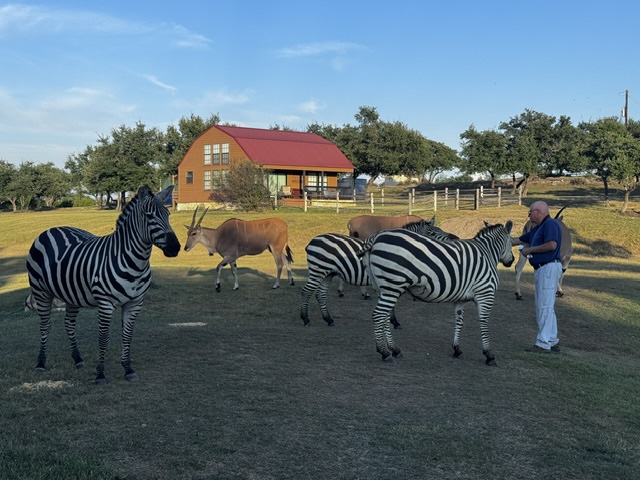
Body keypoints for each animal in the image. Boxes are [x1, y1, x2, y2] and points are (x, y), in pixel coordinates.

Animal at [26, 185, 181, 384]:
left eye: (168, 214)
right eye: (149, 216)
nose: (175, 248)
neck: (134, 262)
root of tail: (50, 230)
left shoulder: (135, 303)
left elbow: (127, 336)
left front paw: (128, 369)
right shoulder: (106, 303)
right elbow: (103, 338)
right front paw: (100, 373)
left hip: (72, 294)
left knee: (69, 323)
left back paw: (78, 359)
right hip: (41, 291)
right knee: (45, 325)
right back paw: (40, 363)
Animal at [300, 219, 459, 328]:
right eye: (432, 232)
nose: (455, 238)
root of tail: (313, 240)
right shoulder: (392, 281)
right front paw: (394, 322)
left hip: (327, 273)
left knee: (320, 294)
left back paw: (329, 319)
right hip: (318, 270)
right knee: (306, 291)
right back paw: (305, 318)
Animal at [359, 220, 514, 366]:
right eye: (511, 242)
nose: (511, 261)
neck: (488, 252)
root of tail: (376, 237)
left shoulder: (460, 299)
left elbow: (459, 321)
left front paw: (457, 349)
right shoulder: (486, 293)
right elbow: (484, 323)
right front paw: (489, 354)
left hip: (382, 288)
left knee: (385, 317)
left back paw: (394, 349)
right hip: (392, 286)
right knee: (378, 315)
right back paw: (384, 352)